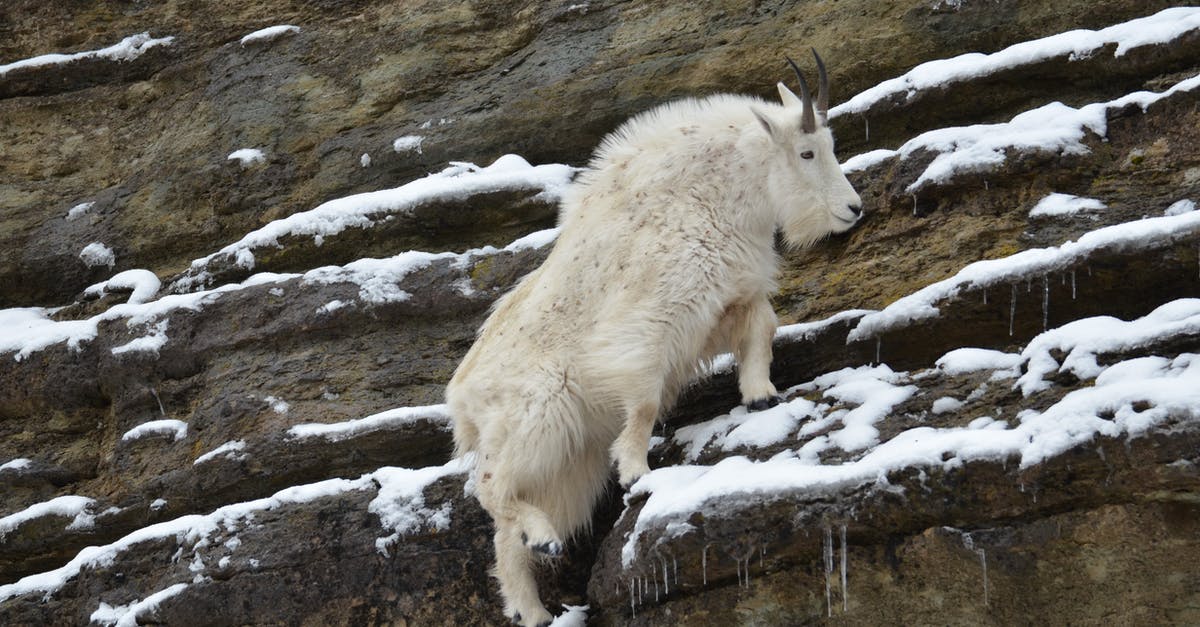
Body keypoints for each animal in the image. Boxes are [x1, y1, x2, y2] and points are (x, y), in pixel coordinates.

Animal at [448, 53, 864, 624]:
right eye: (807, 151)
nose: (853, 210)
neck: (710, 198)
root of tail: (461, 399)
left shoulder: (735, 295)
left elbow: (761, 331)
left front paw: (761, 395)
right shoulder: (646, 329)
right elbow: (643, 403)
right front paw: (634, 473)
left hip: (564, 461)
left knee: (504, 535)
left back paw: (532, 604)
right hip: (539, 418)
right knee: (491, 490)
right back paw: (545, 540)